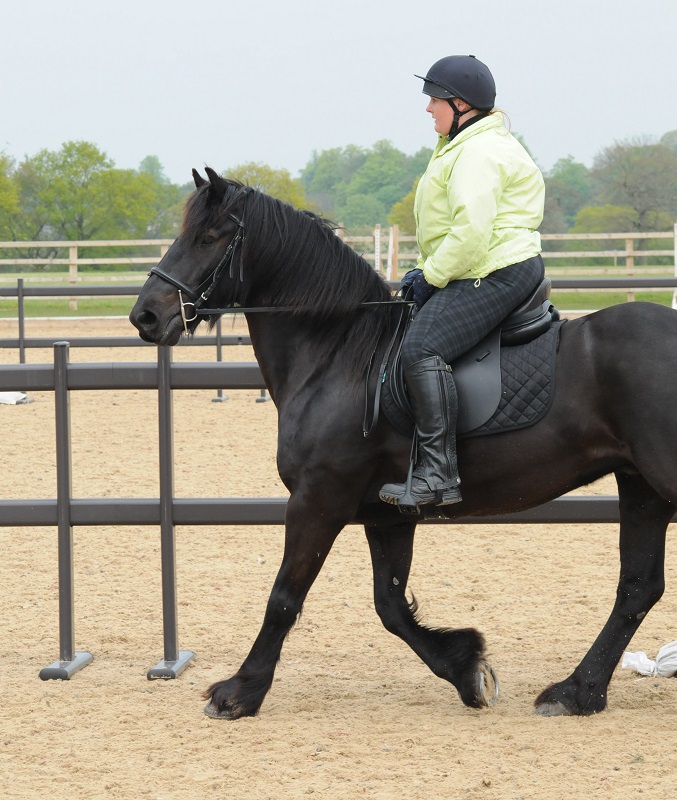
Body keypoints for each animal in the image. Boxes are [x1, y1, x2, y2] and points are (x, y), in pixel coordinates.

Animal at [130, 167, 676, 720]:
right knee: (637, 588)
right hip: (640, 486)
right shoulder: (385, 513)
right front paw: (466, 667)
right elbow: (389, 606)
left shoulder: (318, 499)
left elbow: (284, 597)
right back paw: (577, 691)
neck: (338, 356)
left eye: (208, 237)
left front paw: (241, 690)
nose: (145, 316)